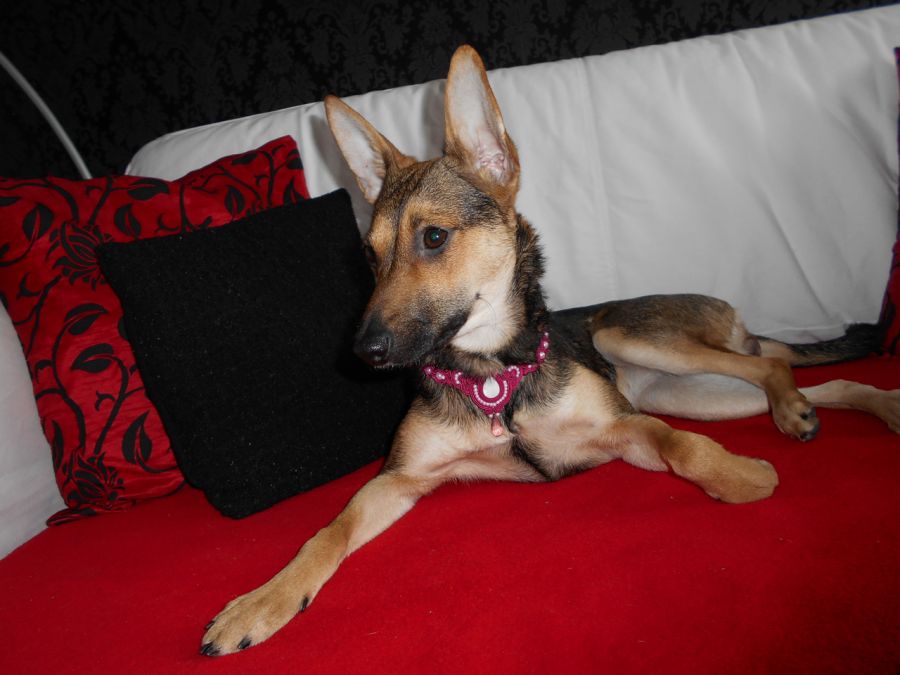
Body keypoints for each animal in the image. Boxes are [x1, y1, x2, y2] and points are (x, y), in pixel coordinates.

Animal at [200, 45, 899, 656]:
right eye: (370, 258)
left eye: (434, 238)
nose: (364, 352)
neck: (492, 375)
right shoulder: (398, 479)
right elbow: (327, 531)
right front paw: (263, 601)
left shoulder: (625, 429)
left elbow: (682, 447)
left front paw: (739, 477)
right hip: (692, 394)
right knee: (816, 381)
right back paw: (860, 407)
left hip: (631, 338)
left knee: (771, 362)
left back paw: (797, 412)